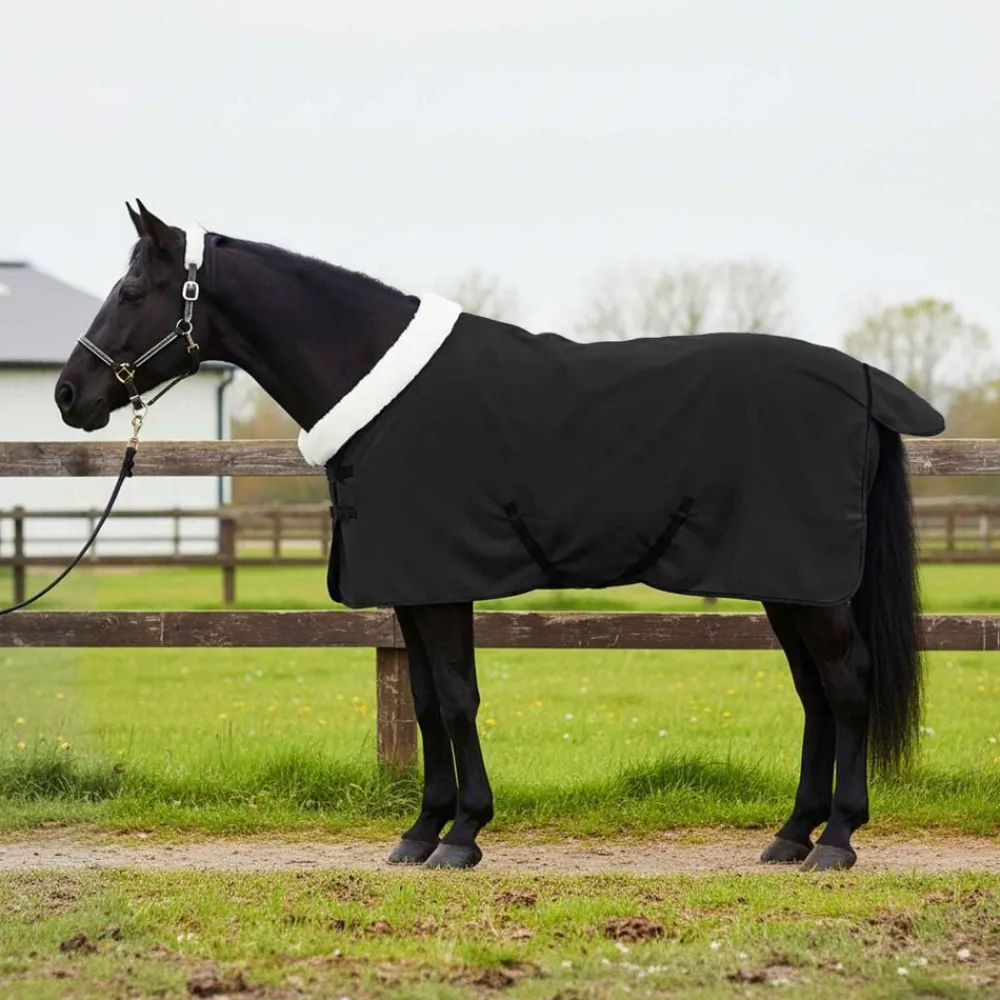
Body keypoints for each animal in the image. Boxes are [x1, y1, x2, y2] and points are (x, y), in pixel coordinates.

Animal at [55, 202, 945, 872]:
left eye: (132, 289)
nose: (69, 393)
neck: (381, 392)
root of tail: (863, 383)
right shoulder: (410, 590)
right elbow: (422, 704)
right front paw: (421, 832)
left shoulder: (441, 583)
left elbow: (455, 700)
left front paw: (463, 836)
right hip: (786, 582)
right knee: (815, 693)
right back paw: (791, 837)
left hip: (813, 585)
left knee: (848, 686)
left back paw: (836, 840)